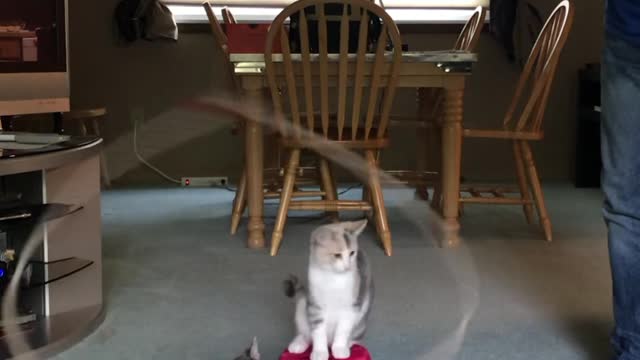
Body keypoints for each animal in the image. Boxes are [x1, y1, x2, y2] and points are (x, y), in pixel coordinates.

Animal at [282, 219, 372, 360]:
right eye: (337, 255)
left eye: (352, 253)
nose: (347, 266)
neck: (333, 279)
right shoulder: (315, 305)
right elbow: (318, 331)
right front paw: (320, 352)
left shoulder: (351, 307)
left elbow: (343, 329)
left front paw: (340, 348)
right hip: (302, 305)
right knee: (305, 332)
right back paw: (298, 344)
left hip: (361, 319)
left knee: (355, 337)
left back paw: (348, 343)